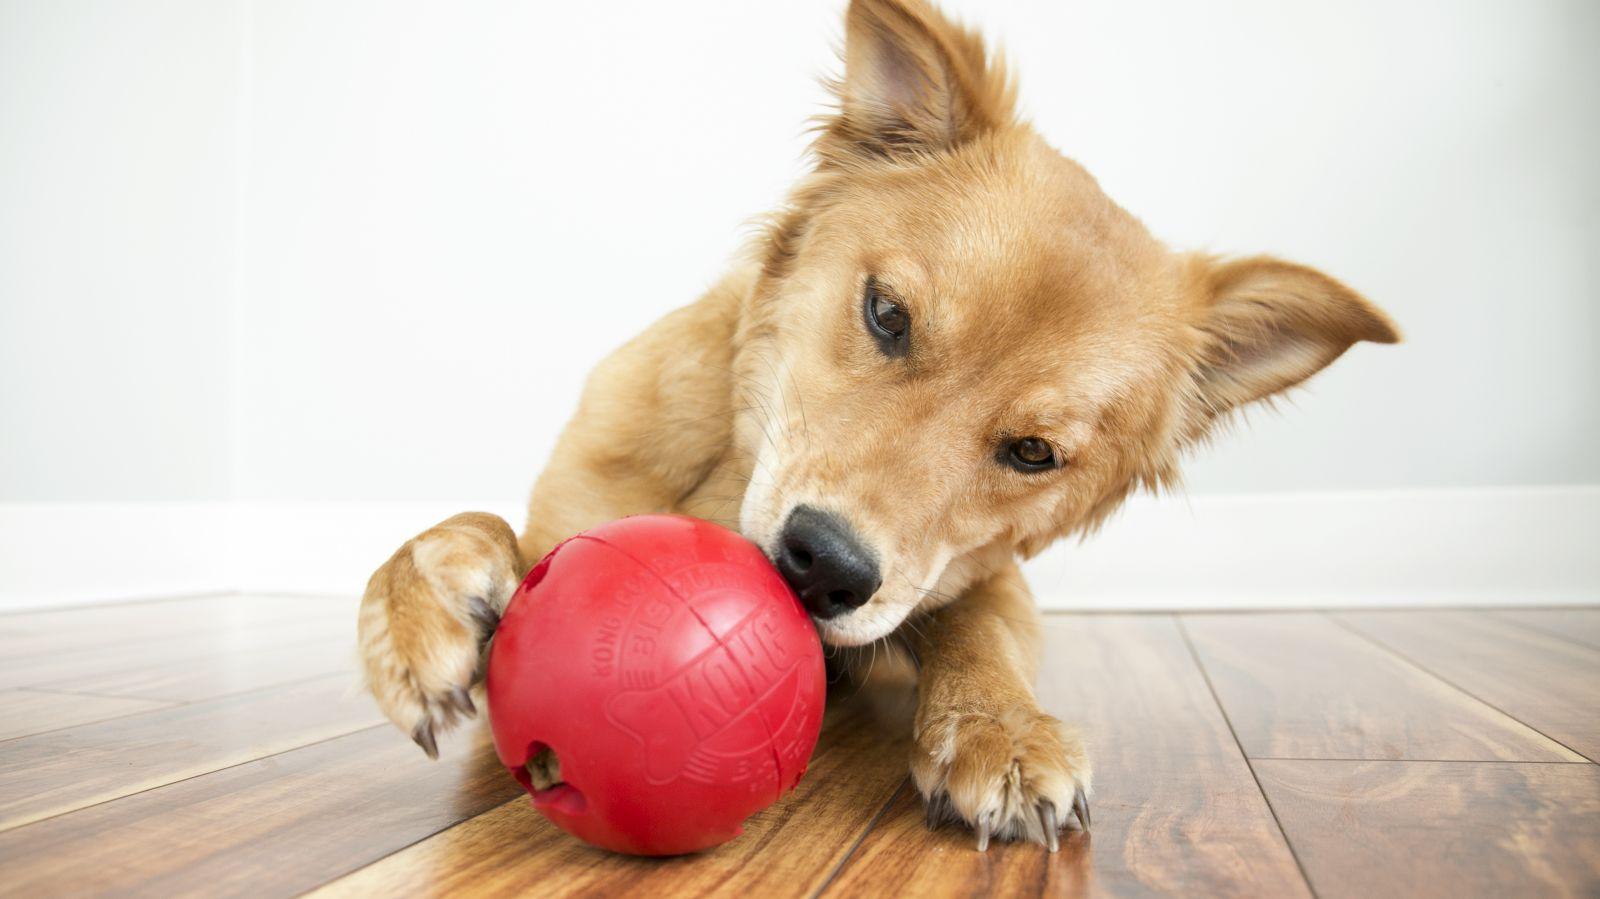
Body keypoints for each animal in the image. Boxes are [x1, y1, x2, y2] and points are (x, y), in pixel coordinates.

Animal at [356, 0, 1395, 844]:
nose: (825, 566)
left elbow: (978, 624)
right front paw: (422, 603)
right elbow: (476, 530)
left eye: (1033, 452)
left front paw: (998, 728)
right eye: (888, 315)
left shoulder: (981, 579)